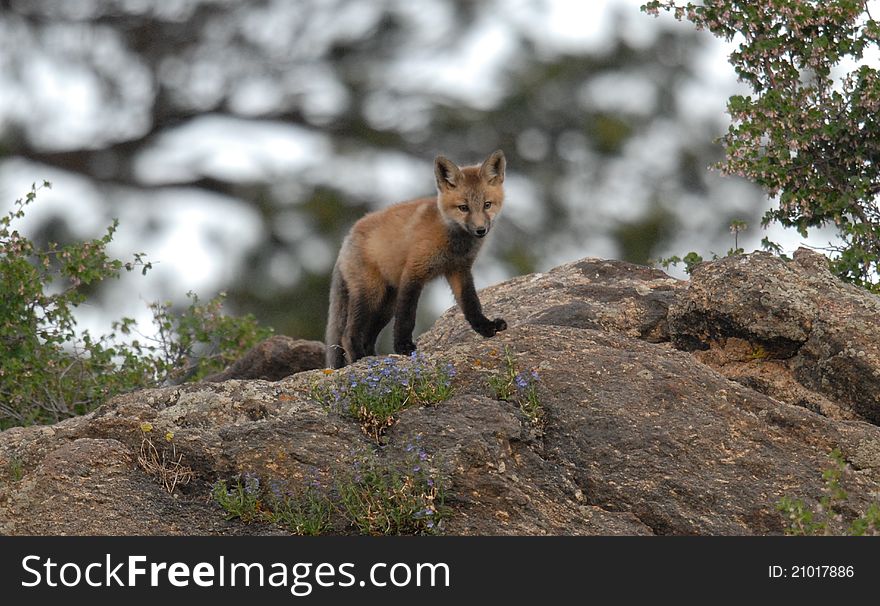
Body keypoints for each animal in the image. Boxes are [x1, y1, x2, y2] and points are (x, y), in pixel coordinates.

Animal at [326, 151, 508, 370]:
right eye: (463, 208)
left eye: (487, 205)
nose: (481, 230)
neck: (452, 240)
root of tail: (348, 237)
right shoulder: (414, 272)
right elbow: (407, 317)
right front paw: (403, 347)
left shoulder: (459, 270)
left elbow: (472, 304)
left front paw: (486, 327)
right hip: (371, 294)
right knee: (348, 334)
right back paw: (360, 359)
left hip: (386, 304)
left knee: (367, 336)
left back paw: (372, 358)